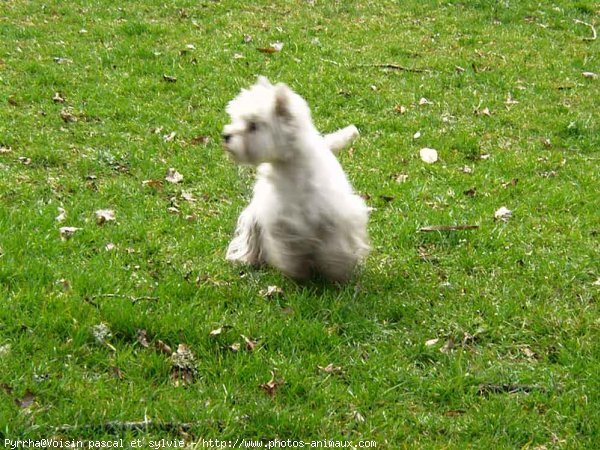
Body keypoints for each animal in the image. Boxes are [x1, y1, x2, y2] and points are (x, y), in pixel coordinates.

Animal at [221, 77, 368, 282]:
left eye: (253, 125)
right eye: (236, 119)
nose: (226, 136)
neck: (292, 171)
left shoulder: (336, 218)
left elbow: (335, 246)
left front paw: (337, 270)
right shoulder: (281, 223)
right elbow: (288, 249)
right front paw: (298, 271)